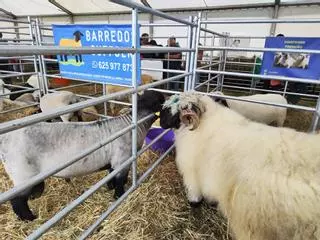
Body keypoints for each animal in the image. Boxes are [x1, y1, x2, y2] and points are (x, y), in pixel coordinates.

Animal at [0, 90, 165, 221]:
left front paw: (110, 187)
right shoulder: (121, 161)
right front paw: (118, 195)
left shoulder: (113, 162)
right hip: (23, 174)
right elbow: (119, 180)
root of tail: (5, 139)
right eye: (160, 100)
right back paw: (29, 218)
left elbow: (110, 175)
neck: (132, 125)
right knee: (17, 202)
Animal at [160, 92, 320, 240]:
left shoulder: (191, 171)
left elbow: (194, 192)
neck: (205, 122)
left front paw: (194, 203)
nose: (160, 122)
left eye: (174, 111)